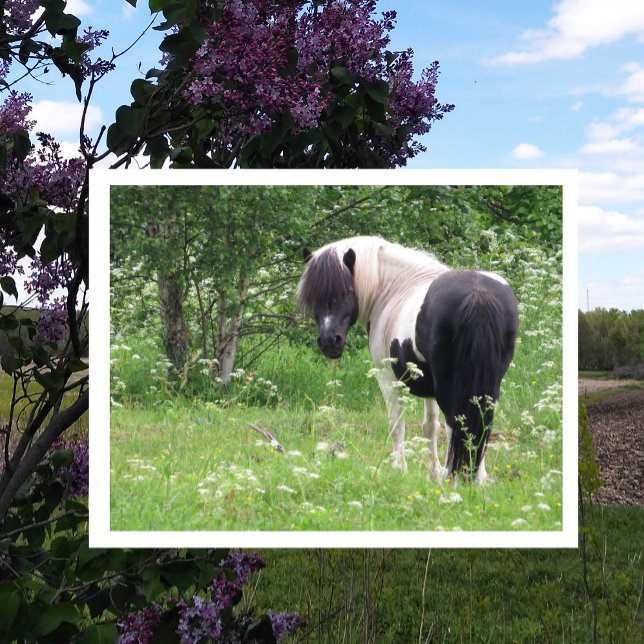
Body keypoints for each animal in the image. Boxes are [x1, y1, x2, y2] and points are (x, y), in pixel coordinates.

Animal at [295, 236, 518, 483]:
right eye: (312, 297)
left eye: (346, 292)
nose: (329, 342)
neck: (393, 288)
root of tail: (478, 294)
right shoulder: (428, 384)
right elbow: (430, 426)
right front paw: (432, 474)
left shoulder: (387, 377)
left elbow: (396, 424)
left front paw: (399, 469)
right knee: (481, 422)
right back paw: (477, 477)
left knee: (456, 423)